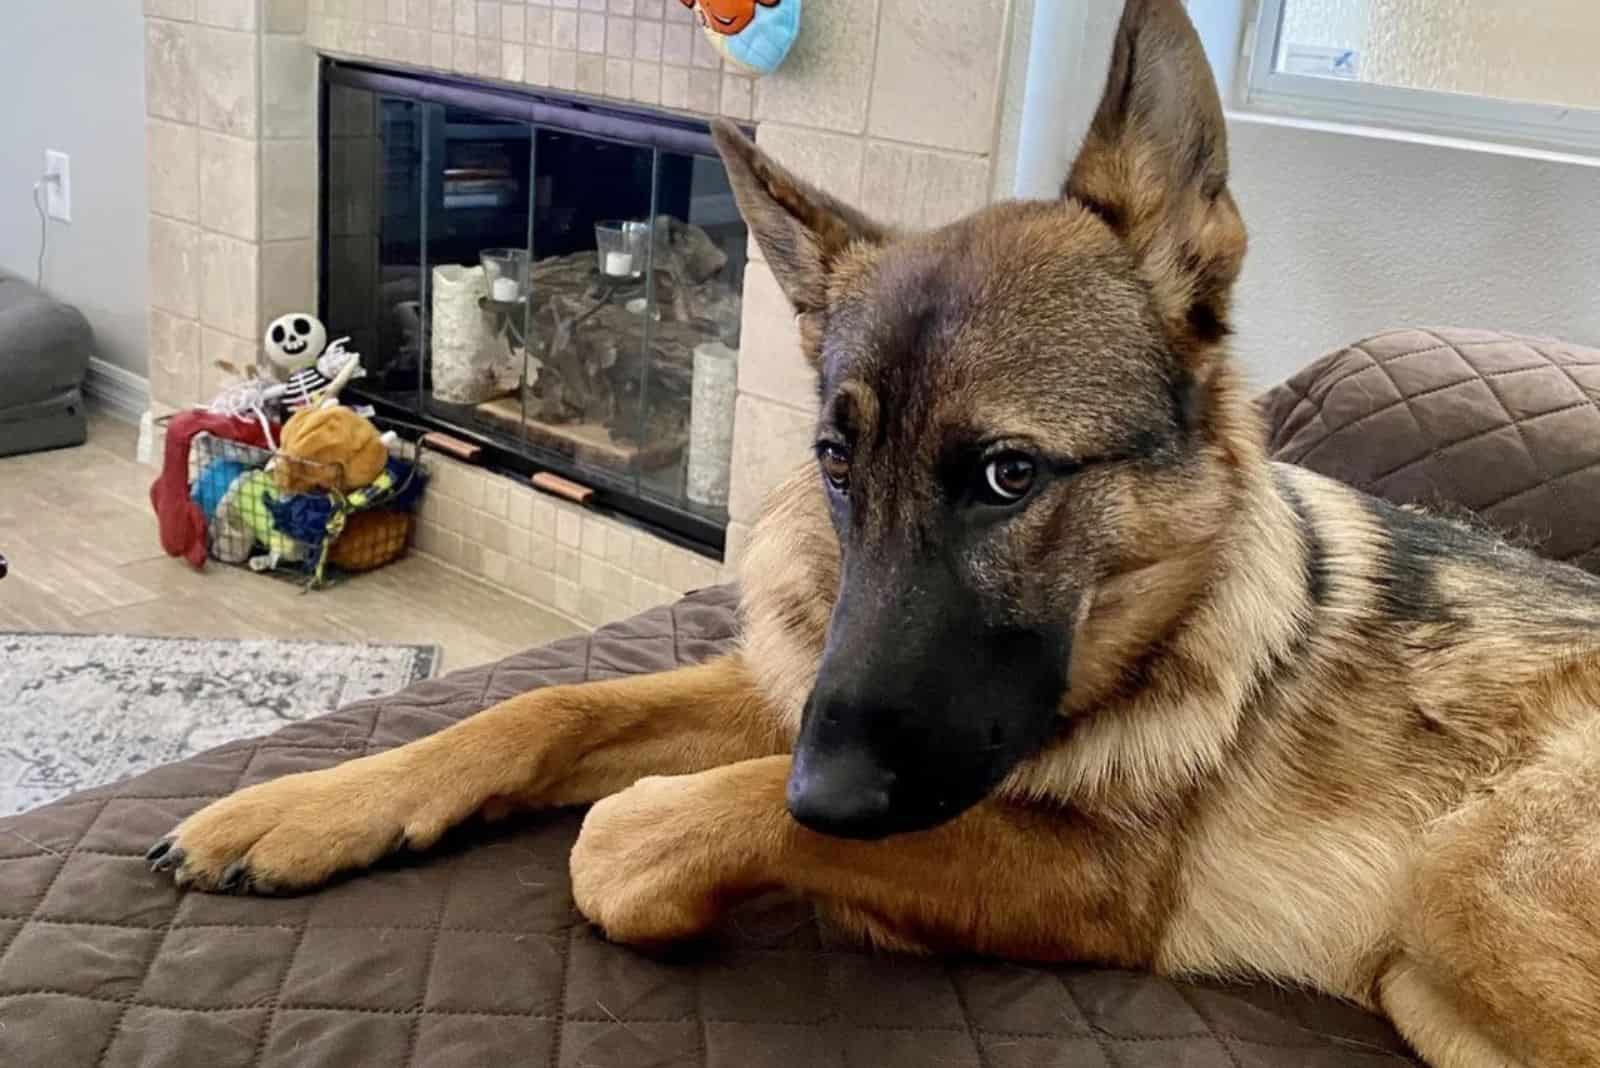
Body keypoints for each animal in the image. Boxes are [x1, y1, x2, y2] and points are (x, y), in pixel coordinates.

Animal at [144, 4, 1593, 1061]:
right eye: (837, 463)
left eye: (1010, 475)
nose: (827, 789)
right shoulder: (790, 694)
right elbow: (542, 711)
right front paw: (307, 808)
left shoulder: (1085, 875)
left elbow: (656, 822)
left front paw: (664, 845)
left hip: (1468, 888)